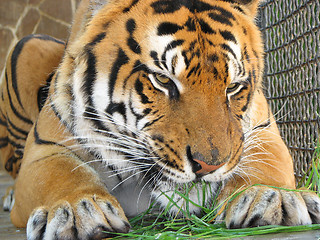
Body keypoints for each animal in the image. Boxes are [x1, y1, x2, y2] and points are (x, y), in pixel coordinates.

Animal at [0, 0, 320, 239]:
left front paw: (272, 197)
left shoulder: (264, 130)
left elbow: (267, 164)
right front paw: (77, 211)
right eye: (163, 80)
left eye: (232, 87)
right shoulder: (45, 147)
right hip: (27, 46)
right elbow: (59, 174)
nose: (209, 166)